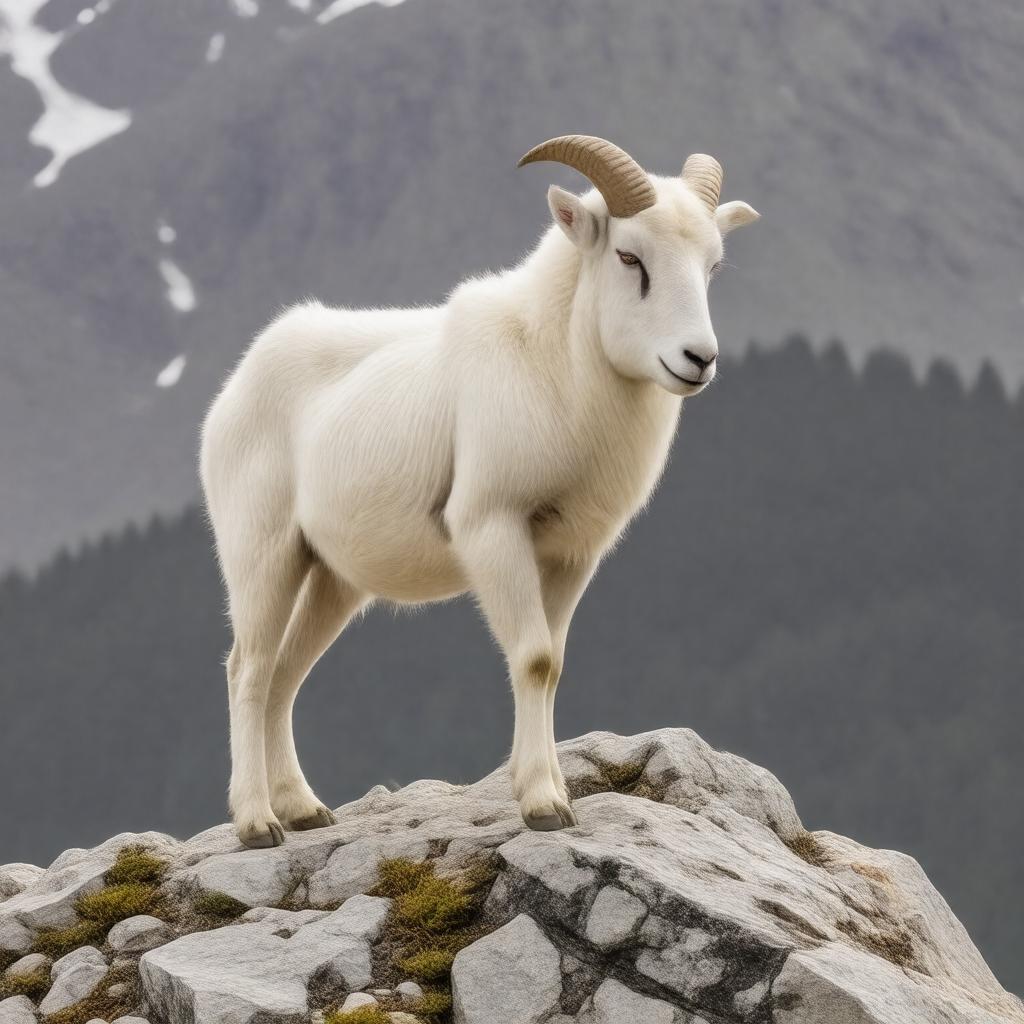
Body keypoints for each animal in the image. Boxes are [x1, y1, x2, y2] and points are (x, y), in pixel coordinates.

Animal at [200, 135, 760, 847]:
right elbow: (533, 658)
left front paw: (548, 793)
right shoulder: (492, 529)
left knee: (283, 675)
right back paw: (257, 824)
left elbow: (552, 663)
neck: (556, 369)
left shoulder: (571, 555)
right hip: (262, 554)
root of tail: (238, 385)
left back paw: (304, 810)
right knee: (247, 669)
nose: (698, 360)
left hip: (331, 577)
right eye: (630, 257)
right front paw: (544, 806)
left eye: (712, 266)